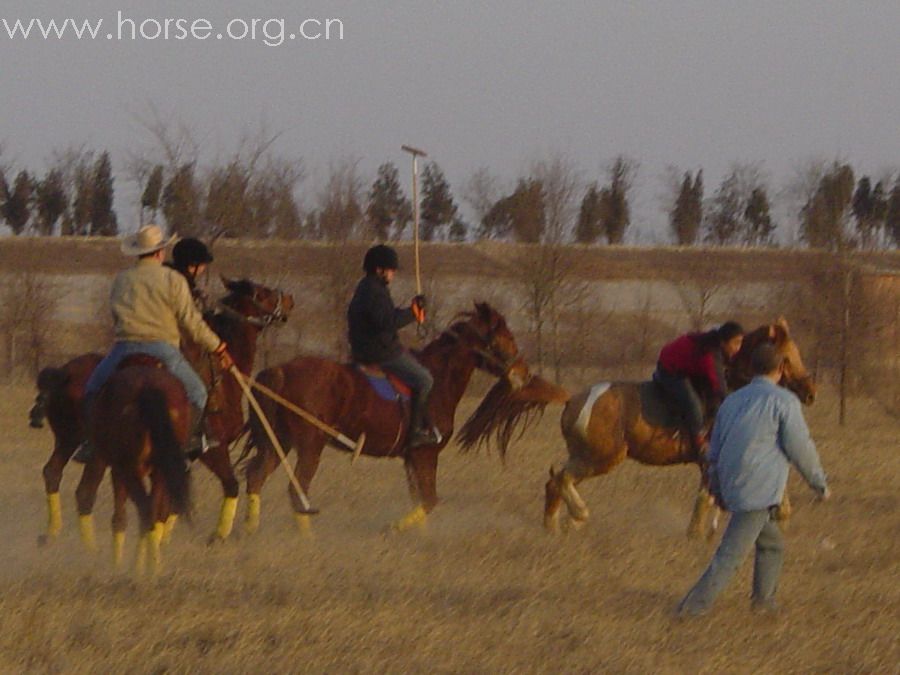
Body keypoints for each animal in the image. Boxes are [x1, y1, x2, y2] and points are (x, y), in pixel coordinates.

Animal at [30, 278, 292, 552]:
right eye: (263, 293)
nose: (289, 301)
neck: (219, 375)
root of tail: (62, 373)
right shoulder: (213, 449)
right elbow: (230, 486)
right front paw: (216, 536)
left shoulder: (182, 456)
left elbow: (170, 503)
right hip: (98, 454)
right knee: (85, 492)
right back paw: (89, 548)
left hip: (67, 440)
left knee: (52, 473)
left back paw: (51, 535)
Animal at [239, 304, 564, 536]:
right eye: (505, 338)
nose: (524, 374)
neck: (438, 379)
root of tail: (280, 371)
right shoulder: (425, 454)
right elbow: (430, 501)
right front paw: (393, 528)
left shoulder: (411, 459)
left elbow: (419, 499)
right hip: (310, 446)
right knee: (297, 491)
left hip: (278, 442)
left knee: (256, 478)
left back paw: (249, 531)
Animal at [458, 318, 816, 540]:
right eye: (786, 358)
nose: (811, 392)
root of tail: (574, 397)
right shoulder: (711, 457)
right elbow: (708, 497)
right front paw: (696, 534)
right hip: (603, 458)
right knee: (562, 479)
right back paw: (578, 516)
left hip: (586, 455)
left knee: (554, 481)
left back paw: (553, 526)